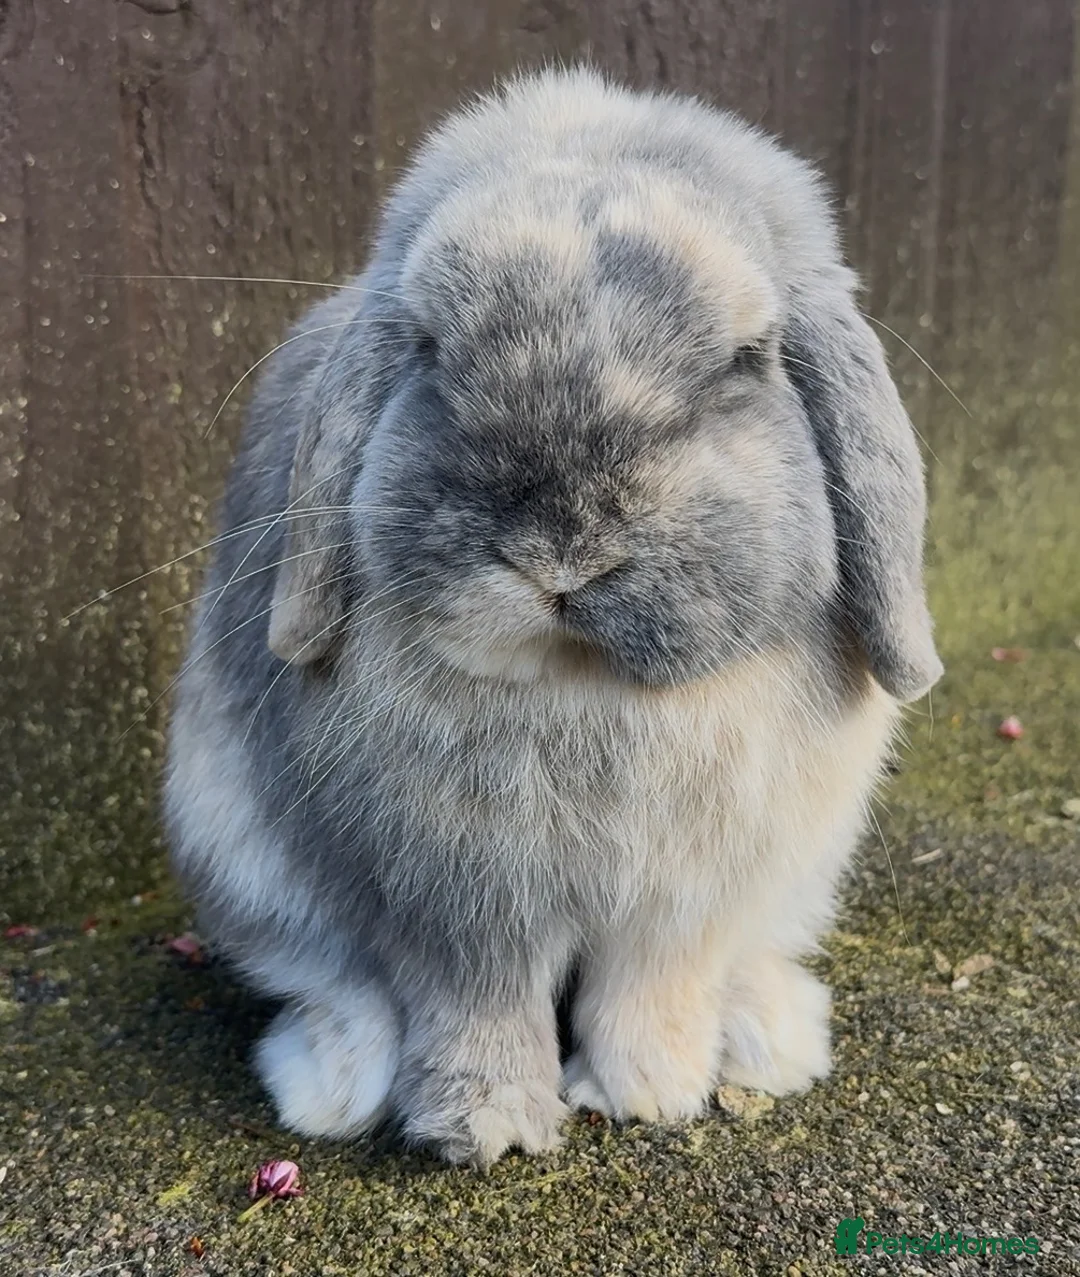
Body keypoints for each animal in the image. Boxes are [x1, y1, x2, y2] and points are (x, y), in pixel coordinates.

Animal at [164, 65, 942, 1167]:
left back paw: (767, 1039)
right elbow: (472, 1007)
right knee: (336, 985)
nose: (560, 552)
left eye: (747, 360)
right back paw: (334, 1087)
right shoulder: (452, 905)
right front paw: (482, 1127)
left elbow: (653, 990)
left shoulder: (681, 902)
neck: (582, 679)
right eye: (429, 348)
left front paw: (646, 1094)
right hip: (238, 852)